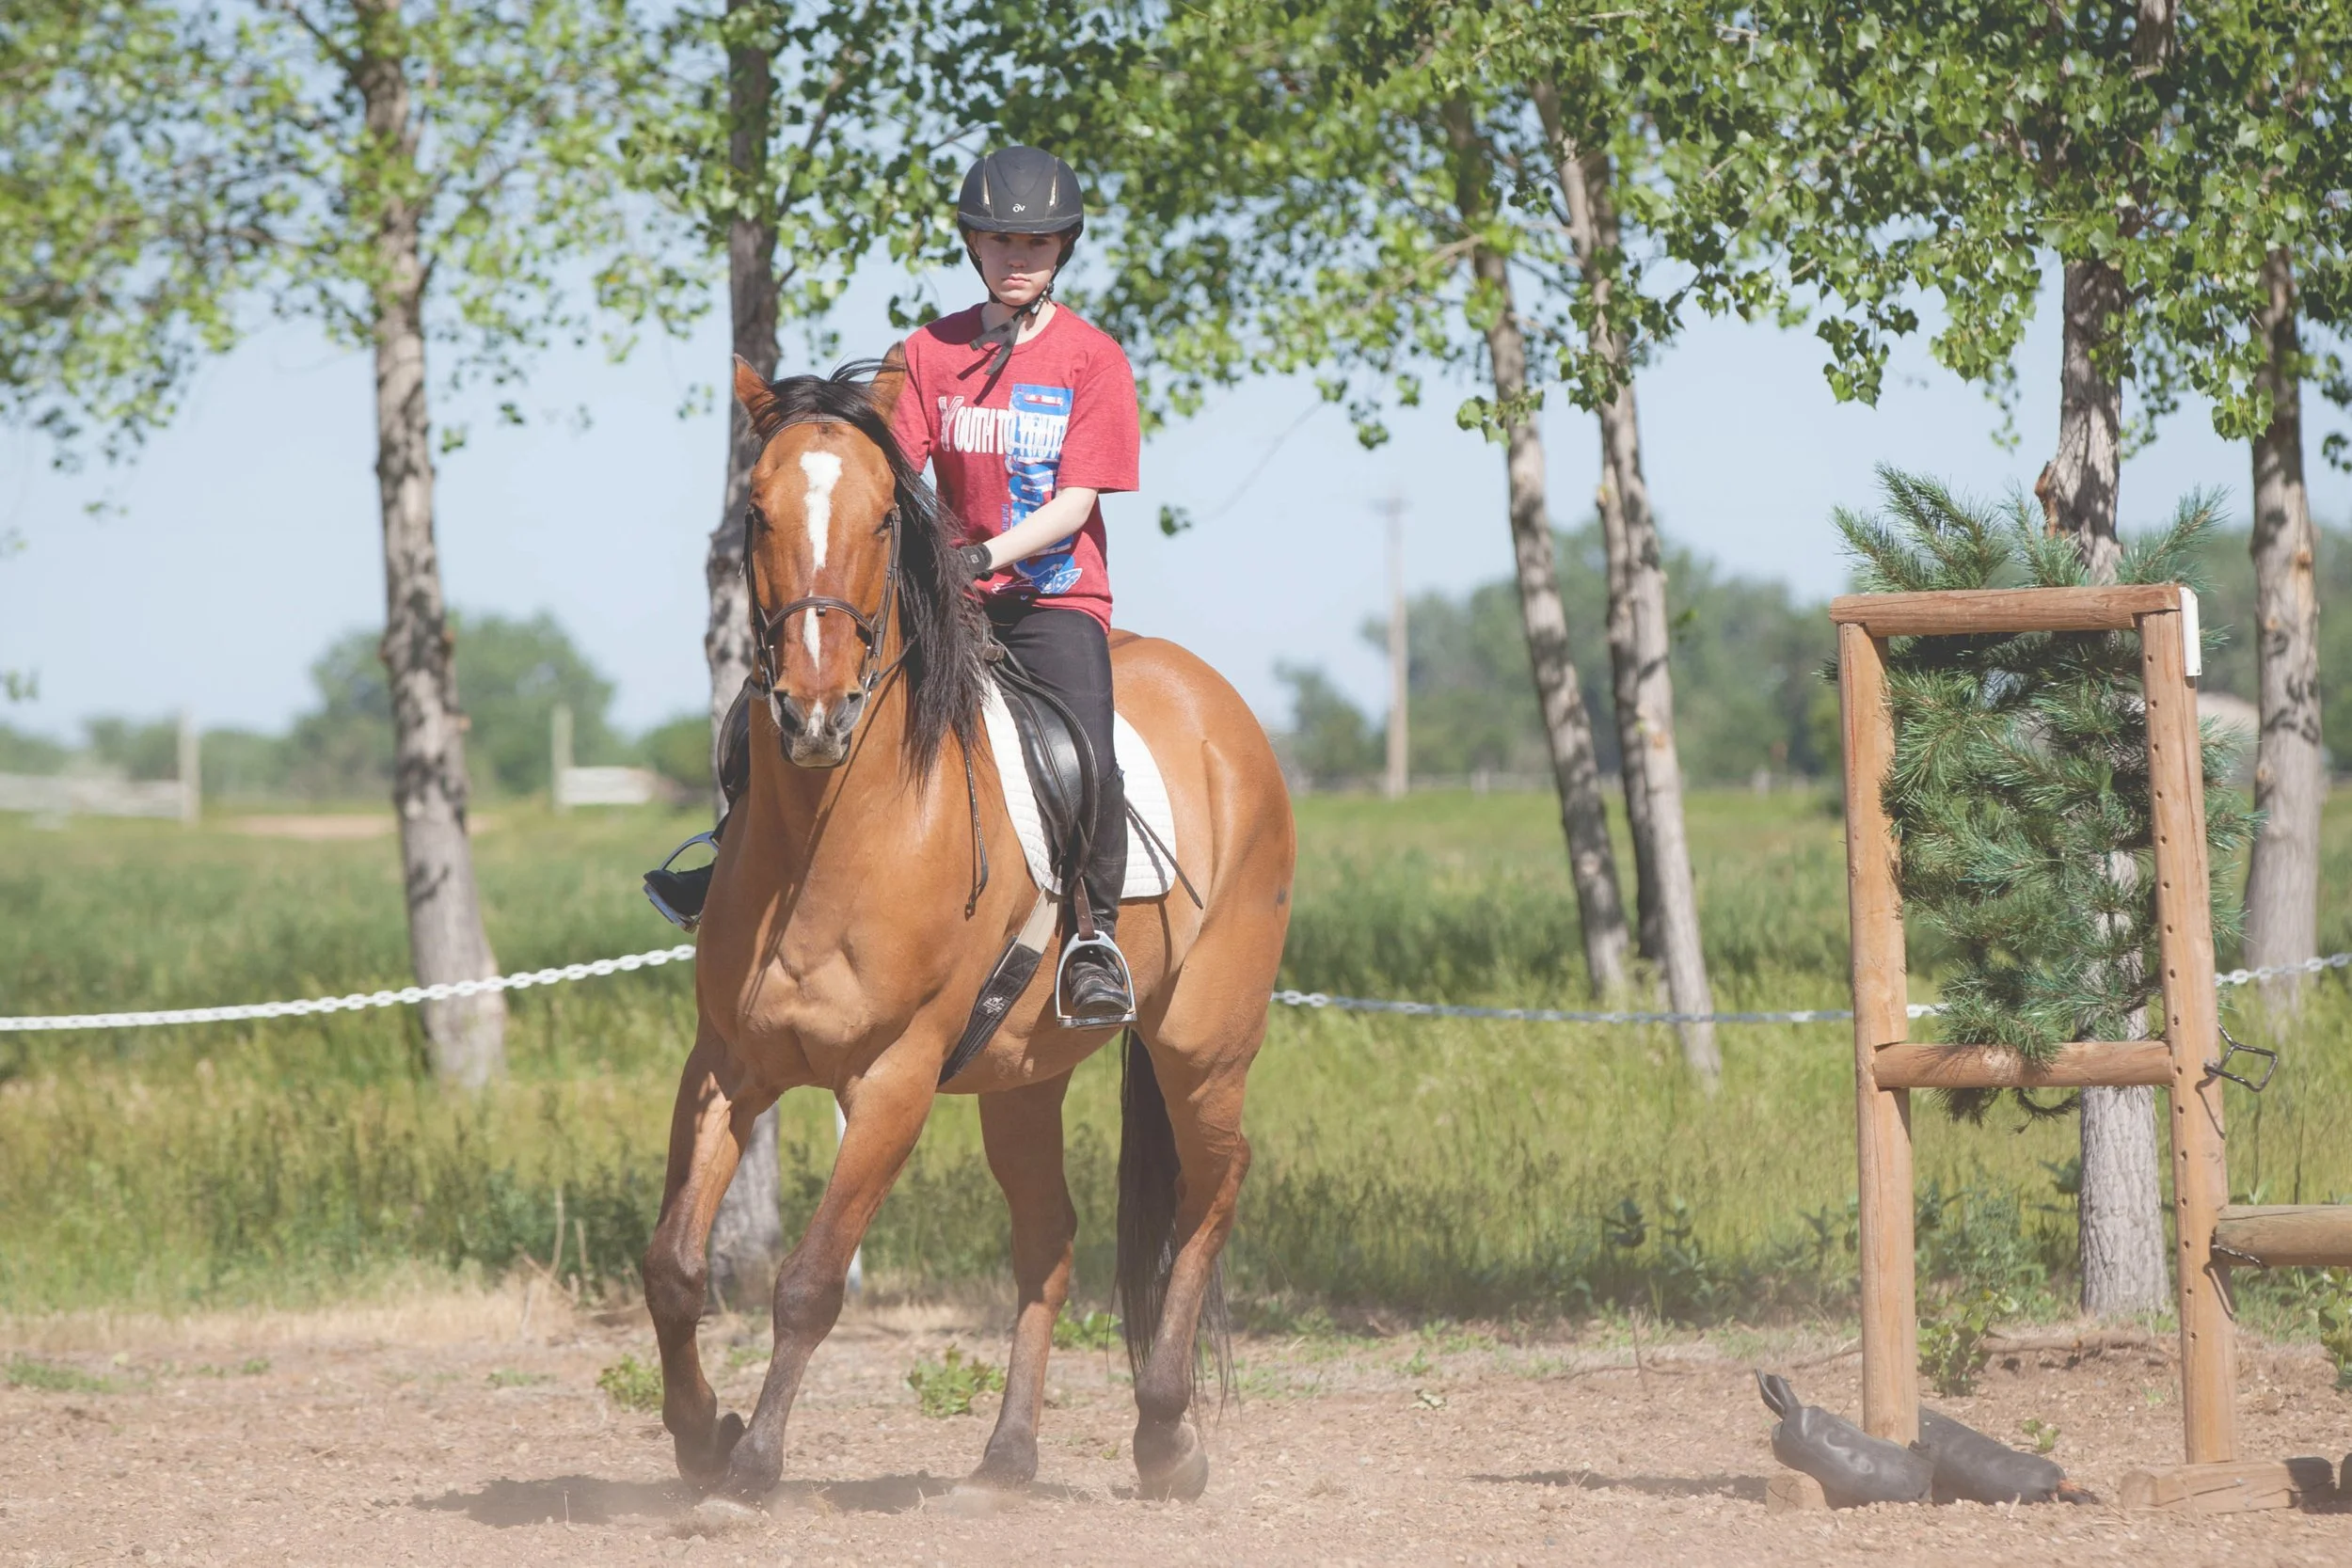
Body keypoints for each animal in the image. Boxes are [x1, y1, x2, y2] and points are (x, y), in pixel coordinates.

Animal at [638, 352, 1295, 1504]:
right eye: (757, 513)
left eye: (882, 519)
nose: (814, 712)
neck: (830, 836)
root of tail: (1221, 710)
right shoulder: (725, 1064)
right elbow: (674, 1266)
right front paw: (699, 1434)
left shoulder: (892, 1080)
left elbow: (810, 1280)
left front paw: (752, 1465)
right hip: (1022, 1077)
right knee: (1050, 1239)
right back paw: (1007, 1456)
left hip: (1204, 1044)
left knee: (1211, 1192)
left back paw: (1165, 1432)